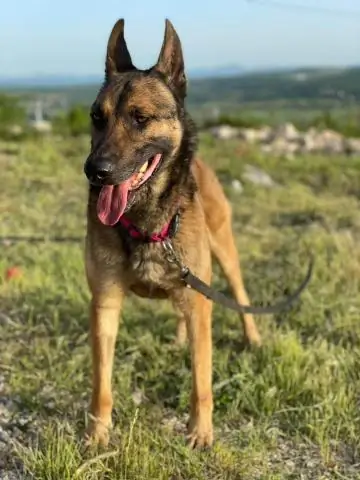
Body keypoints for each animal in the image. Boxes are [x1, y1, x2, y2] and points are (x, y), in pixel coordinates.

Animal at [83, 16, 260, 448]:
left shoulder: (200, 304)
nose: (95, 171)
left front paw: (200, 432)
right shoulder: (104, 304)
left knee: (240, 293)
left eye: (140, 118)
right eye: (97, 117)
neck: (146, 221)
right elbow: (102, 383)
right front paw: (98, 433)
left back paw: (253, 338)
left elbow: (201, 381)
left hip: (222, 255)